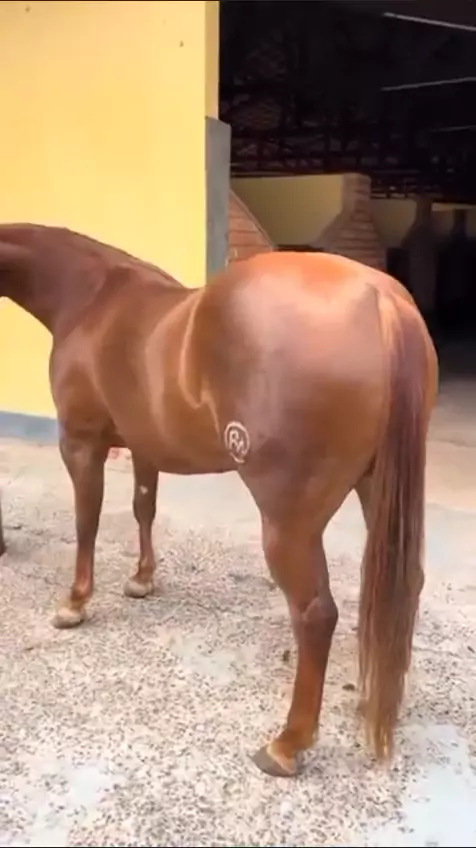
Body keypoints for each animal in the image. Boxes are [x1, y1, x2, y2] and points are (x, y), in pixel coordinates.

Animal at [0, 223, 438, 778]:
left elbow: (87, 522)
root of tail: (380, 299)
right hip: (377, 490)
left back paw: (288, 743)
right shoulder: (143, 445)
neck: (90, 297)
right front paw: (142, 580)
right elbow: (144, 508)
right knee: (406, 585)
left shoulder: (81, 443)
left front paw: (75, 603)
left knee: (315, 614)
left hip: (288, 523)